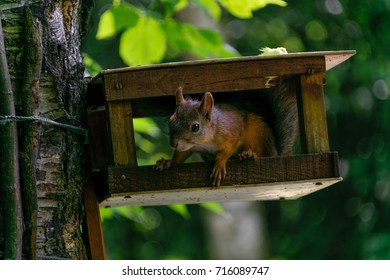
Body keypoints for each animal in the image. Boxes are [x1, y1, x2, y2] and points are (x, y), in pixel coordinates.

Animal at [154, 77, 298, 188]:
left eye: (195, 127)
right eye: (170, 120)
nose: (173, 144)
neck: (205, 141)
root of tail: (276, 152)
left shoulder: (231, 131)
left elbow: (228, 149)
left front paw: (220, 164)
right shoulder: (188, 147)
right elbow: (181, 155)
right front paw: (168, 162)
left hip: (257, 132)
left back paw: (249, 154)